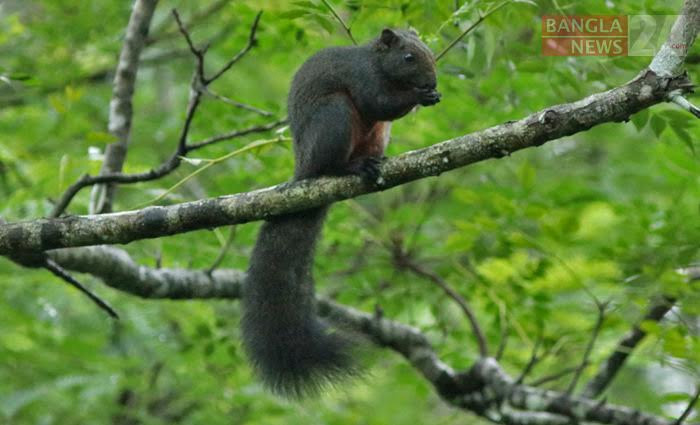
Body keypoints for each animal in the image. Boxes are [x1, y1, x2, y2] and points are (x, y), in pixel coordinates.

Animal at [241, 29, 438, 398]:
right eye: (408, 57)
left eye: (430, 52)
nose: (432, 81)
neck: (378, 62)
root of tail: (303, 170)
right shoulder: (361, 77)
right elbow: (378, 102)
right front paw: (420, 95)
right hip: (335, 117)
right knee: (331, 164)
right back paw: (349, 167)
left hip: (377, 135)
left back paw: (371, 165)